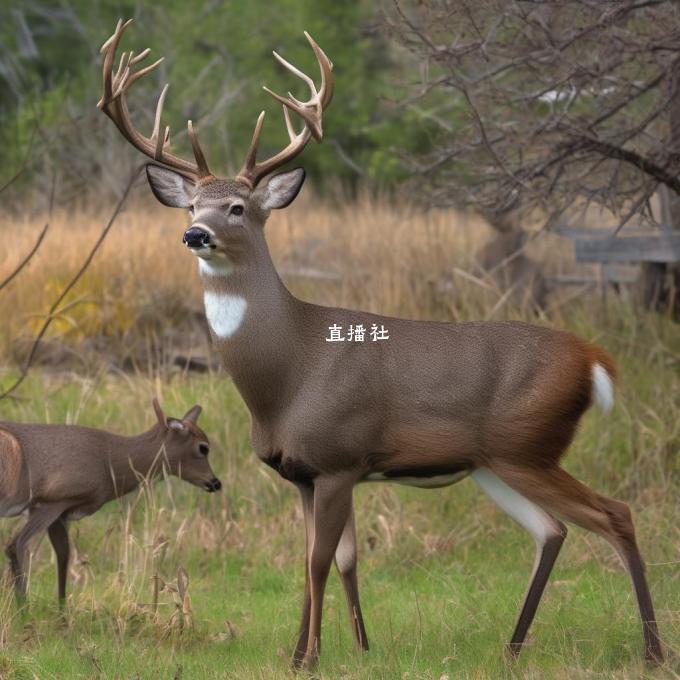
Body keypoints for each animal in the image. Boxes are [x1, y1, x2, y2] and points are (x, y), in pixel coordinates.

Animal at [0, 398, 218, 604]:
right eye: (203, 448)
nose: (215, 482)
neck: (109, 462)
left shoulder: (62, 513)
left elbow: (63, 556)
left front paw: (62, 612)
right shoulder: (53, 500)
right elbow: (17, 546)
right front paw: (26, 610)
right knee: (16, 544)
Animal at [99, 19, 664, 668]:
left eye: (237, 207)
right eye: (192, 203)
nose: (194, 233)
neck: (287, 375)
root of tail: (595, 360)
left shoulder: (339, 457)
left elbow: (322, 561)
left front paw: (311, 658)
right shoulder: (302, 472)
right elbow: (321, 559)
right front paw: (323, 651)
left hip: (527, 443)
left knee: (614, 514)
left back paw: (651, 651)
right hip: (496, 460)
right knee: (553, 529)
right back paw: (513, 648)